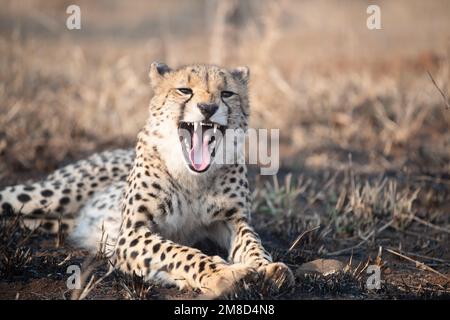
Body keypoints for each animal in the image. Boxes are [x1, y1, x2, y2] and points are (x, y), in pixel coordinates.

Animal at [0, 63, 294, 298]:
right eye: (184, 90)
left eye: (227, 94)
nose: (208, 108)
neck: (193, 177)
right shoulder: (131, 231)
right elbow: (177, 252)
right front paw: (222, 274)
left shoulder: (232, 219)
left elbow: (252, 243)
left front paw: (267, 268)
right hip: (51, 195)